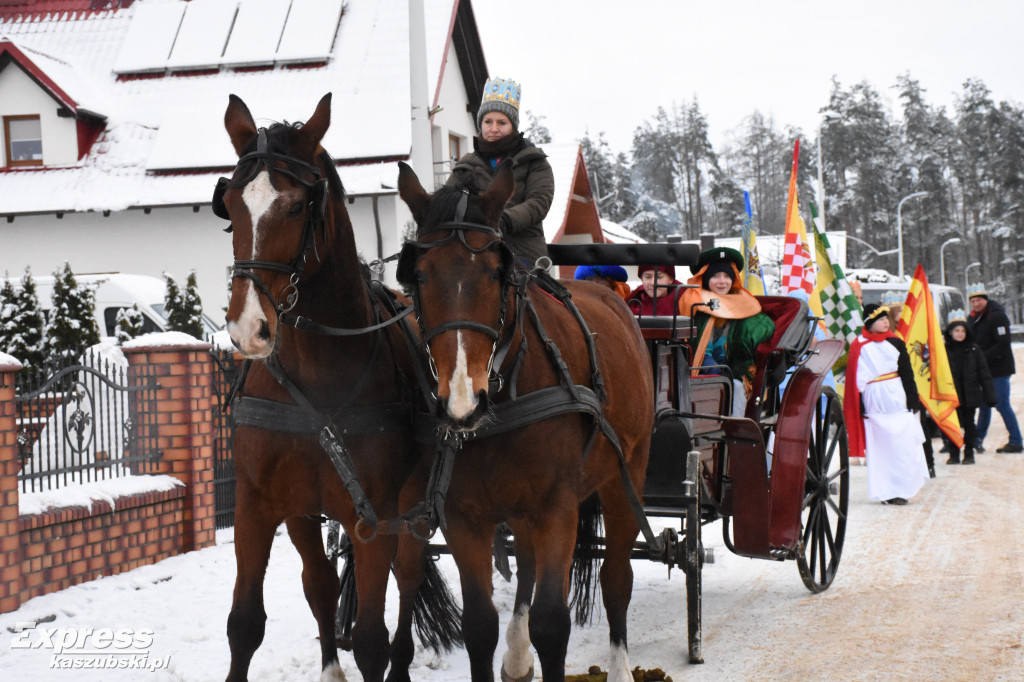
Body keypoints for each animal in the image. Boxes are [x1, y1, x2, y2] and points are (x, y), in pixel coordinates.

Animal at [222, 93, 458, 675]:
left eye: (295, 207)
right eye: (230, 206)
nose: (248, 328)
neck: (318, 377)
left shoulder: (374, 515)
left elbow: (372, 639)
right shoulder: (260, 507)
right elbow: (246, 625)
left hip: (413, 512)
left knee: (407, 581)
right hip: (307, 515)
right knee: (321, 584)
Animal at [395, 160, 651, 679]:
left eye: (497, 272)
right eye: (421, 276)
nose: (462, 401)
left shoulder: (556, 507)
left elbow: (552, 624)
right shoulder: (464, 518)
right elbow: (478, 625)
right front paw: (508, 646)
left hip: (625, 477)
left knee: (616, 577)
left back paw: (617, 664)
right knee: (529, 565)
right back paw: (516, 654)